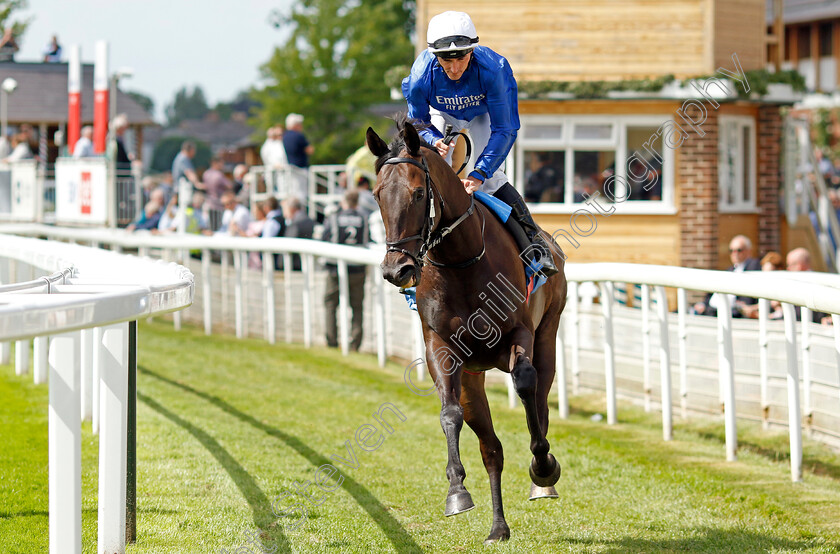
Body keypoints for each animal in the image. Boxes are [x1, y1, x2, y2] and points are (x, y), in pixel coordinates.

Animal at [366, 118, 568, 540]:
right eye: (377, 194)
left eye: (418, 192)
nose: (397, 270)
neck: (460, 260)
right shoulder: (440, 347)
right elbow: (449, 413)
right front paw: (456, 491)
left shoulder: (520, 334)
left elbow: (525, 384)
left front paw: (543, 467)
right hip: (474, 377)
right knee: (491, 448)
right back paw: (498, 527)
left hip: (548, 333)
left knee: (540, 398)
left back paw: (542, 480)